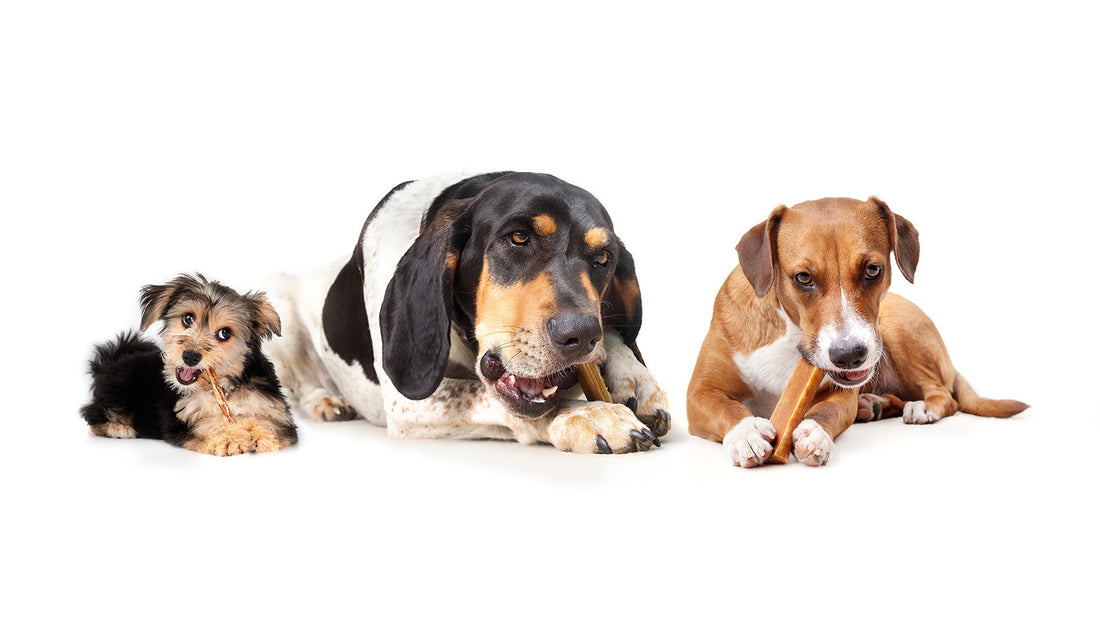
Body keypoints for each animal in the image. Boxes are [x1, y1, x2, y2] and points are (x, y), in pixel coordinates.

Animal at [81, 274, 299, 455]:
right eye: (187, 319)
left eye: (225, 333)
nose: (190, 356)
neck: (224, 386)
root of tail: (110, 362)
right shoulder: (182, 420)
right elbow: (207, 424)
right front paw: (230, 437)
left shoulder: (274, 410)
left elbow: (270, 423)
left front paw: (261, 435)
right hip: (119, 391)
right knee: (95, 414)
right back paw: (119, 428)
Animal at [266, 171, 668, 452]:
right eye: (518, 237)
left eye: (603, 258)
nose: (580, 334)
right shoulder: (407, 403)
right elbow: (488, 396)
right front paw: (590, 414)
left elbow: (614, 337)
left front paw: (633, 377)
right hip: (278, 309)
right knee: (300, 383)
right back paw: (326, 401)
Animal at [682, 195, 1025, 468]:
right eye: (803, 278)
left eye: (873, 270)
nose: (849, 356)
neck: (791, 332)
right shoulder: (700, 391)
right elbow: (723, 405)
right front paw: (746, 433)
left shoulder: (840, 395)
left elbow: (828, 411)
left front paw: (815, 434)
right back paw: (873, 405)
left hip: (898, 330)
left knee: (944, 395)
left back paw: (920, 407)